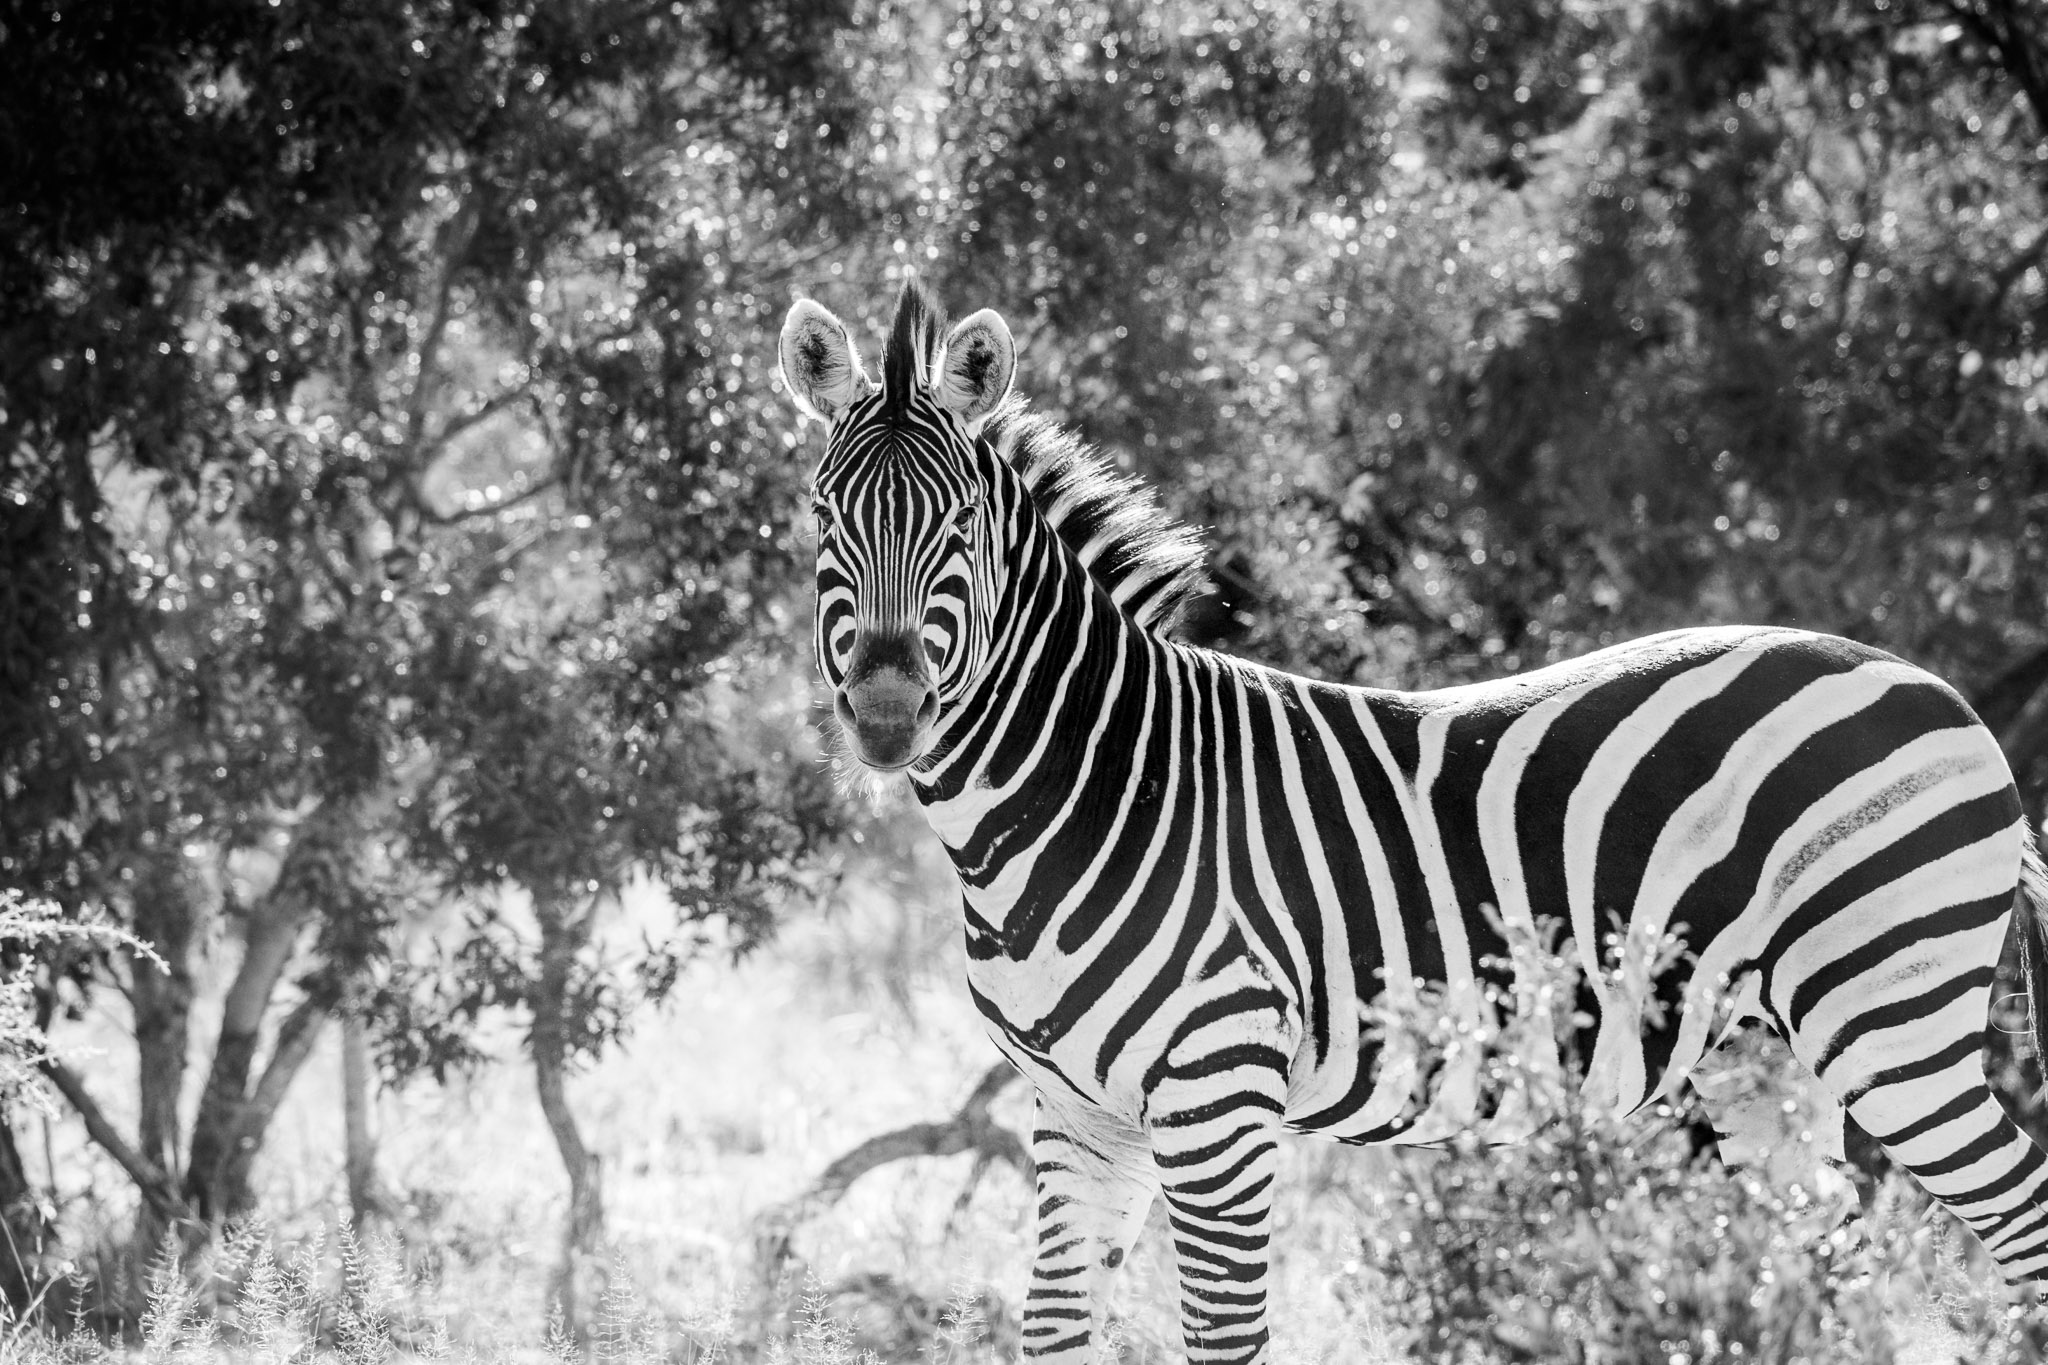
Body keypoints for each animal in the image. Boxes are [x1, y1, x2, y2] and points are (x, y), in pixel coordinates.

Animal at [778, 277, 2048, 1362]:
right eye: (825, 517)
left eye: (958, 528)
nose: (886, 715)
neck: (1085, 794)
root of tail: (1934, 689)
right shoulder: (1077, 1111)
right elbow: (1050, 1329)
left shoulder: (1216, 1091)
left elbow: (1222, 1333)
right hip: (1762, 1056)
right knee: (1809, 1268)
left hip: (1887, 1015)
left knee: (2020, 1219)